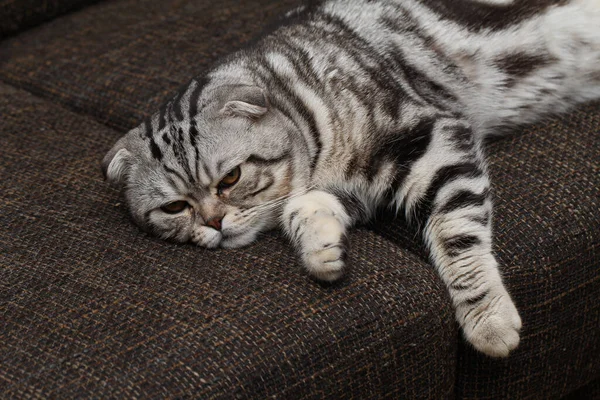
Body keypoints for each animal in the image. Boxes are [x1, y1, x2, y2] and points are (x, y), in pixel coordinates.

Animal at [102, 0, 600, 356]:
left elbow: (458, 237)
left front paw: (488, 320)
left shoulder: (433, 138)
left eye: (231, 178)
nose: (212, 223)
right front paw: (322, 251)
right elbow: (303, 208)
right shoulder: (355, 190)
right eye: (175, 207)